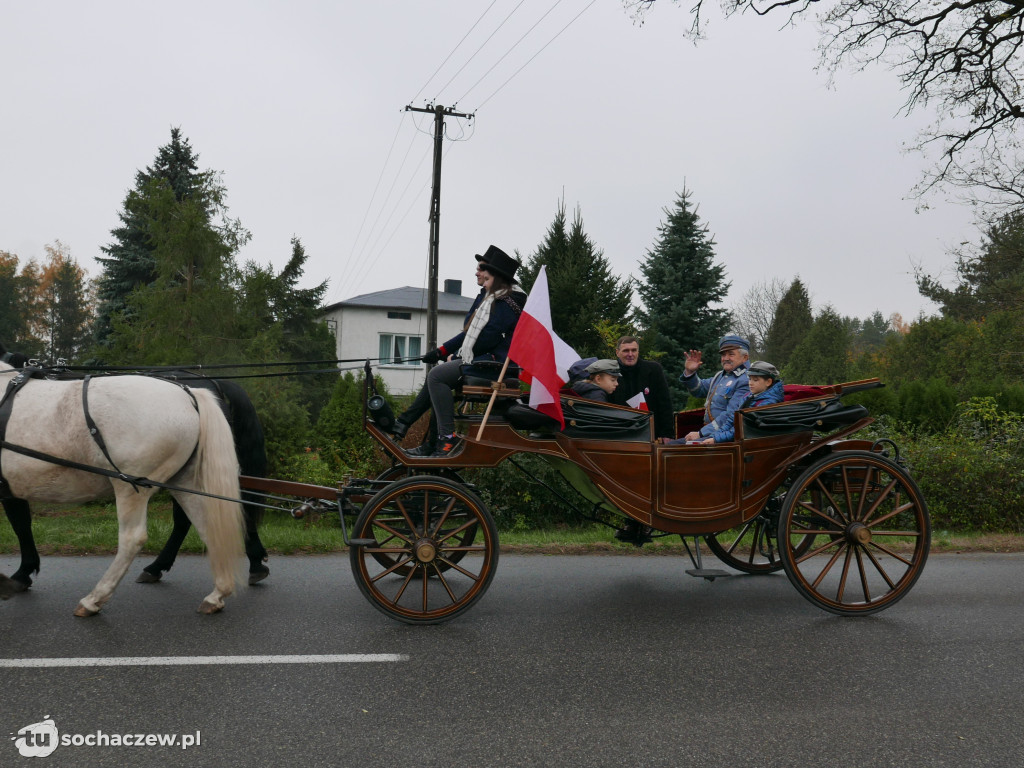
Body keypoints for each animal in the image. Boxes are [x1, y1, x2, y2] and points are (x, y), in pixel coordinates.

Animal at [0, 346, 270, 598]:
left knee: (138, 536)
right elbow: (22, 522)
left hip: (133, 483)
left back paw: (99, 596)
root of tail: (195, 392)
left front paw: (22, 573)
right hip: (184, 477)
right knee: (202, 519)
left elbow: (20, 524)